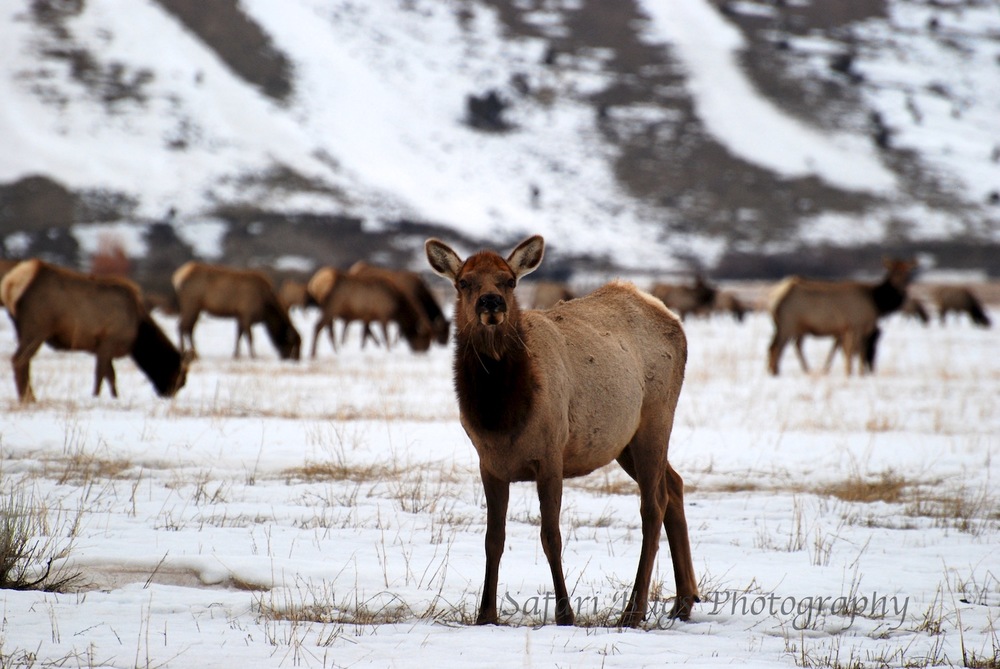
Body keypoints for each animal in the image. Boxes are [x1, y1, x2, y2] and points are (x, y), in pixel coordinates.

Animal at [0, 258, 189, 400]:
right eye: (179, 376)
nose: (168, 395)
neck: (137, 333)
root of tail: (10, 285)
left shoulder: (103, 347)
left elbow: (111, 377)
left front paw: (114, 397)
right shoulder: (108, 341)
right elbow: (101, 375)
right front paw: (96, 396)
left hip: (24, 330)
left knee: (23, 362)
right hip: (36, 328)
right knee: (19, 360)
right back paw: (28, 398)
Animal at [172, 260, 300, 360]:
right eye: (293, 344)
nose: (296, 360)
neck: (266, 309)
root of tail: (177, 278)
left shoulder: (240, 316)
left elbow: (238, 335)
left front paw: (236, 355)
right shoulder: (247, 314)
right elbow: (249, 337)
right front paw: (253, 355)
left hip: (195, 308)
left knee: (188, 328)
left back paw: (194, 353)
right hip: (191, 304)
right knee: (183, 327)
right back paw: (185, 352)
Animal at [422, 234, 696, 628]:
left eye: (510, 280)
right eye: (464, 282)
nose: (491, 302)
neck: (502, 417)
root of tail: (669, 315)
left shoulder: (551, 456)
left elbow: (551, 535)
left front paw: (565, 613)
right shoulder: (489, 464)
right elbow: (493, 538)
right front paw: (485, 614)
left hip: (656, 420)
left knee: (652, 505)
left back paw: (634, 610)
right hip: (623, 441)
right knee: (674, 485)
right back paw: (684, 602)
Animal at [768, 258, 916, 376]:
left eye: (907, 272)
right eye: (893, 272)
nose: (901, 287)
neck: (877, 302)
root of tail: (777, 302)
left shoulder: (849, 329)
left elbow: (851, 351)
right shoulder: (855, 326)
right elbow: (852, 352)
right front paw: (852, 372)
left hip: (794, 327)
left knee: (782, 346)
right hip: (788, 324)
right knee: (776, 347)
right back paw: (776, 372)